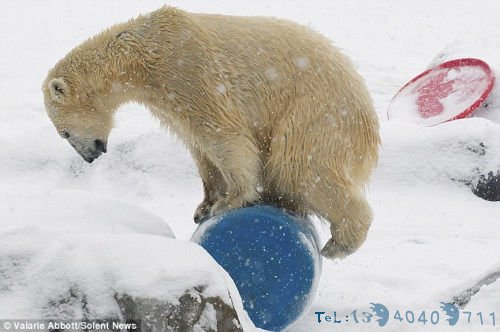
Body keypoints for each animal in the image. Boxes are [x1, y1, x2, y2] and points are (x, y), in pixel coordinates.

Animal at [42, 6, 378, 258]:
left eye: (64, 133)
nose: (90, 156)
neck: (143, 53)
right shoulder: (167, 100)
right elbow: (198, 146)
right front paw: (204, 205)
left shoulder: (187, 70)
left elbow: (222, 133)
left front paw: (230, 201)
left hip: (316, 112)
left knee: (302, 167)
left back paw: (338, 244)